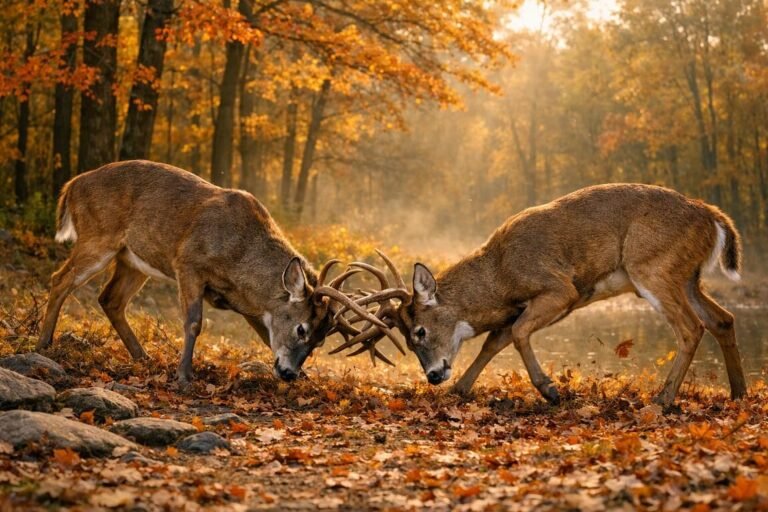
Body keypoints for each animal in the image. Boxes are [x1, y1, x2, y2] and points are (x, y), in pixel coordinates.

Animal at [37, 160, 386, 384]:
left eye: (320, 340)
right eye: (301, 328)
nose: (289, 373)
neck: (239, 259)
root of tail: (72, 185)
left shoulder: (248, 303)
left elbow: (264, 336)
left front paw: (306, 376)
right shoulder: (188, 263)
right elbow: (193, 322)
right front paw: (184, 375)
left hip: (132, 260)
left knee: (110, 299)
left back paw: (143, 357)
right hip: (98, 236)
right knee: (60, 279)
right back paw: (43, 344)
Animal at [336, 184, 748, 408]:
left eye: (420, 331)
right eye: (407, 338)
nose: (434, 375)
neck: (500, 278)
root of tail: (712, 216)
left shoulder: (560, 288)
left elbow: (517, 334)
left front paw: (550, 390)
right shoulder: (521, 307)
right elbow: (494, 341)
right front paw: (461, 388)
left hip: (652, 267)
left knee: (691, 328)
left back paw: (663, 399)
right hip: (688, 278)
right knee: (723, 319)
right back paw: (738, 393)